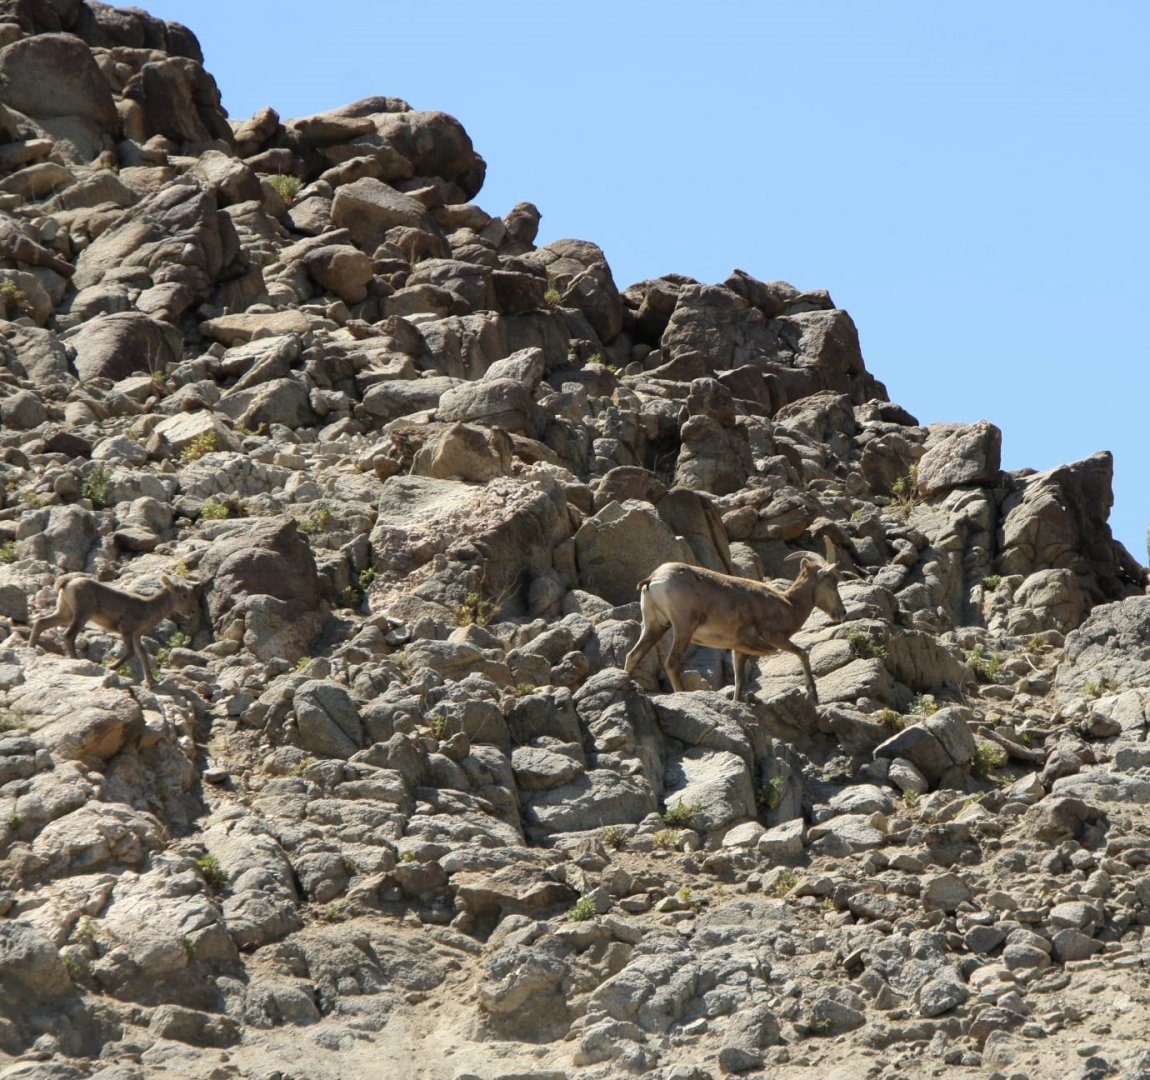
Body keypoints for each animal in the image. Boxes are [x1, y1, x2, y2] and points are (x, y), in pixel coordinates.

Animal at [29, 573, 200, 689]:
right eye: (184, 595)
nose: (192, 612)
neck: (149, 608)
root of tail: (68, 583)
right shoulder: (126, 629)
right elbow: (131, 652)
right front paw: (111, 667)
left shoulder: (136, 636)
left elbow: (142, 655)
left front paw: (151, 681)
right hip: (82, 613)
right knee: (68, 634)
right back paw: (76, 660)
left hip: (66, 613)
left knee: (41, 623)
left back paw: (31, 648)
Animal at [623, 546, 847, 704]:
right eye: (833, 582)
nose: (842, 613)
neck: (789, 605)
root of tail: (654, 579)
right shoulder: (775, 638)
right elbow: (802, 653)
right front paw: (813, 694)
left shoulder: (738, 650)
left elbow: (739, 680)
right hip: (683, 627)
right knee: (672, 662)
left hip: (655, 626)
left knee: (633, 655)